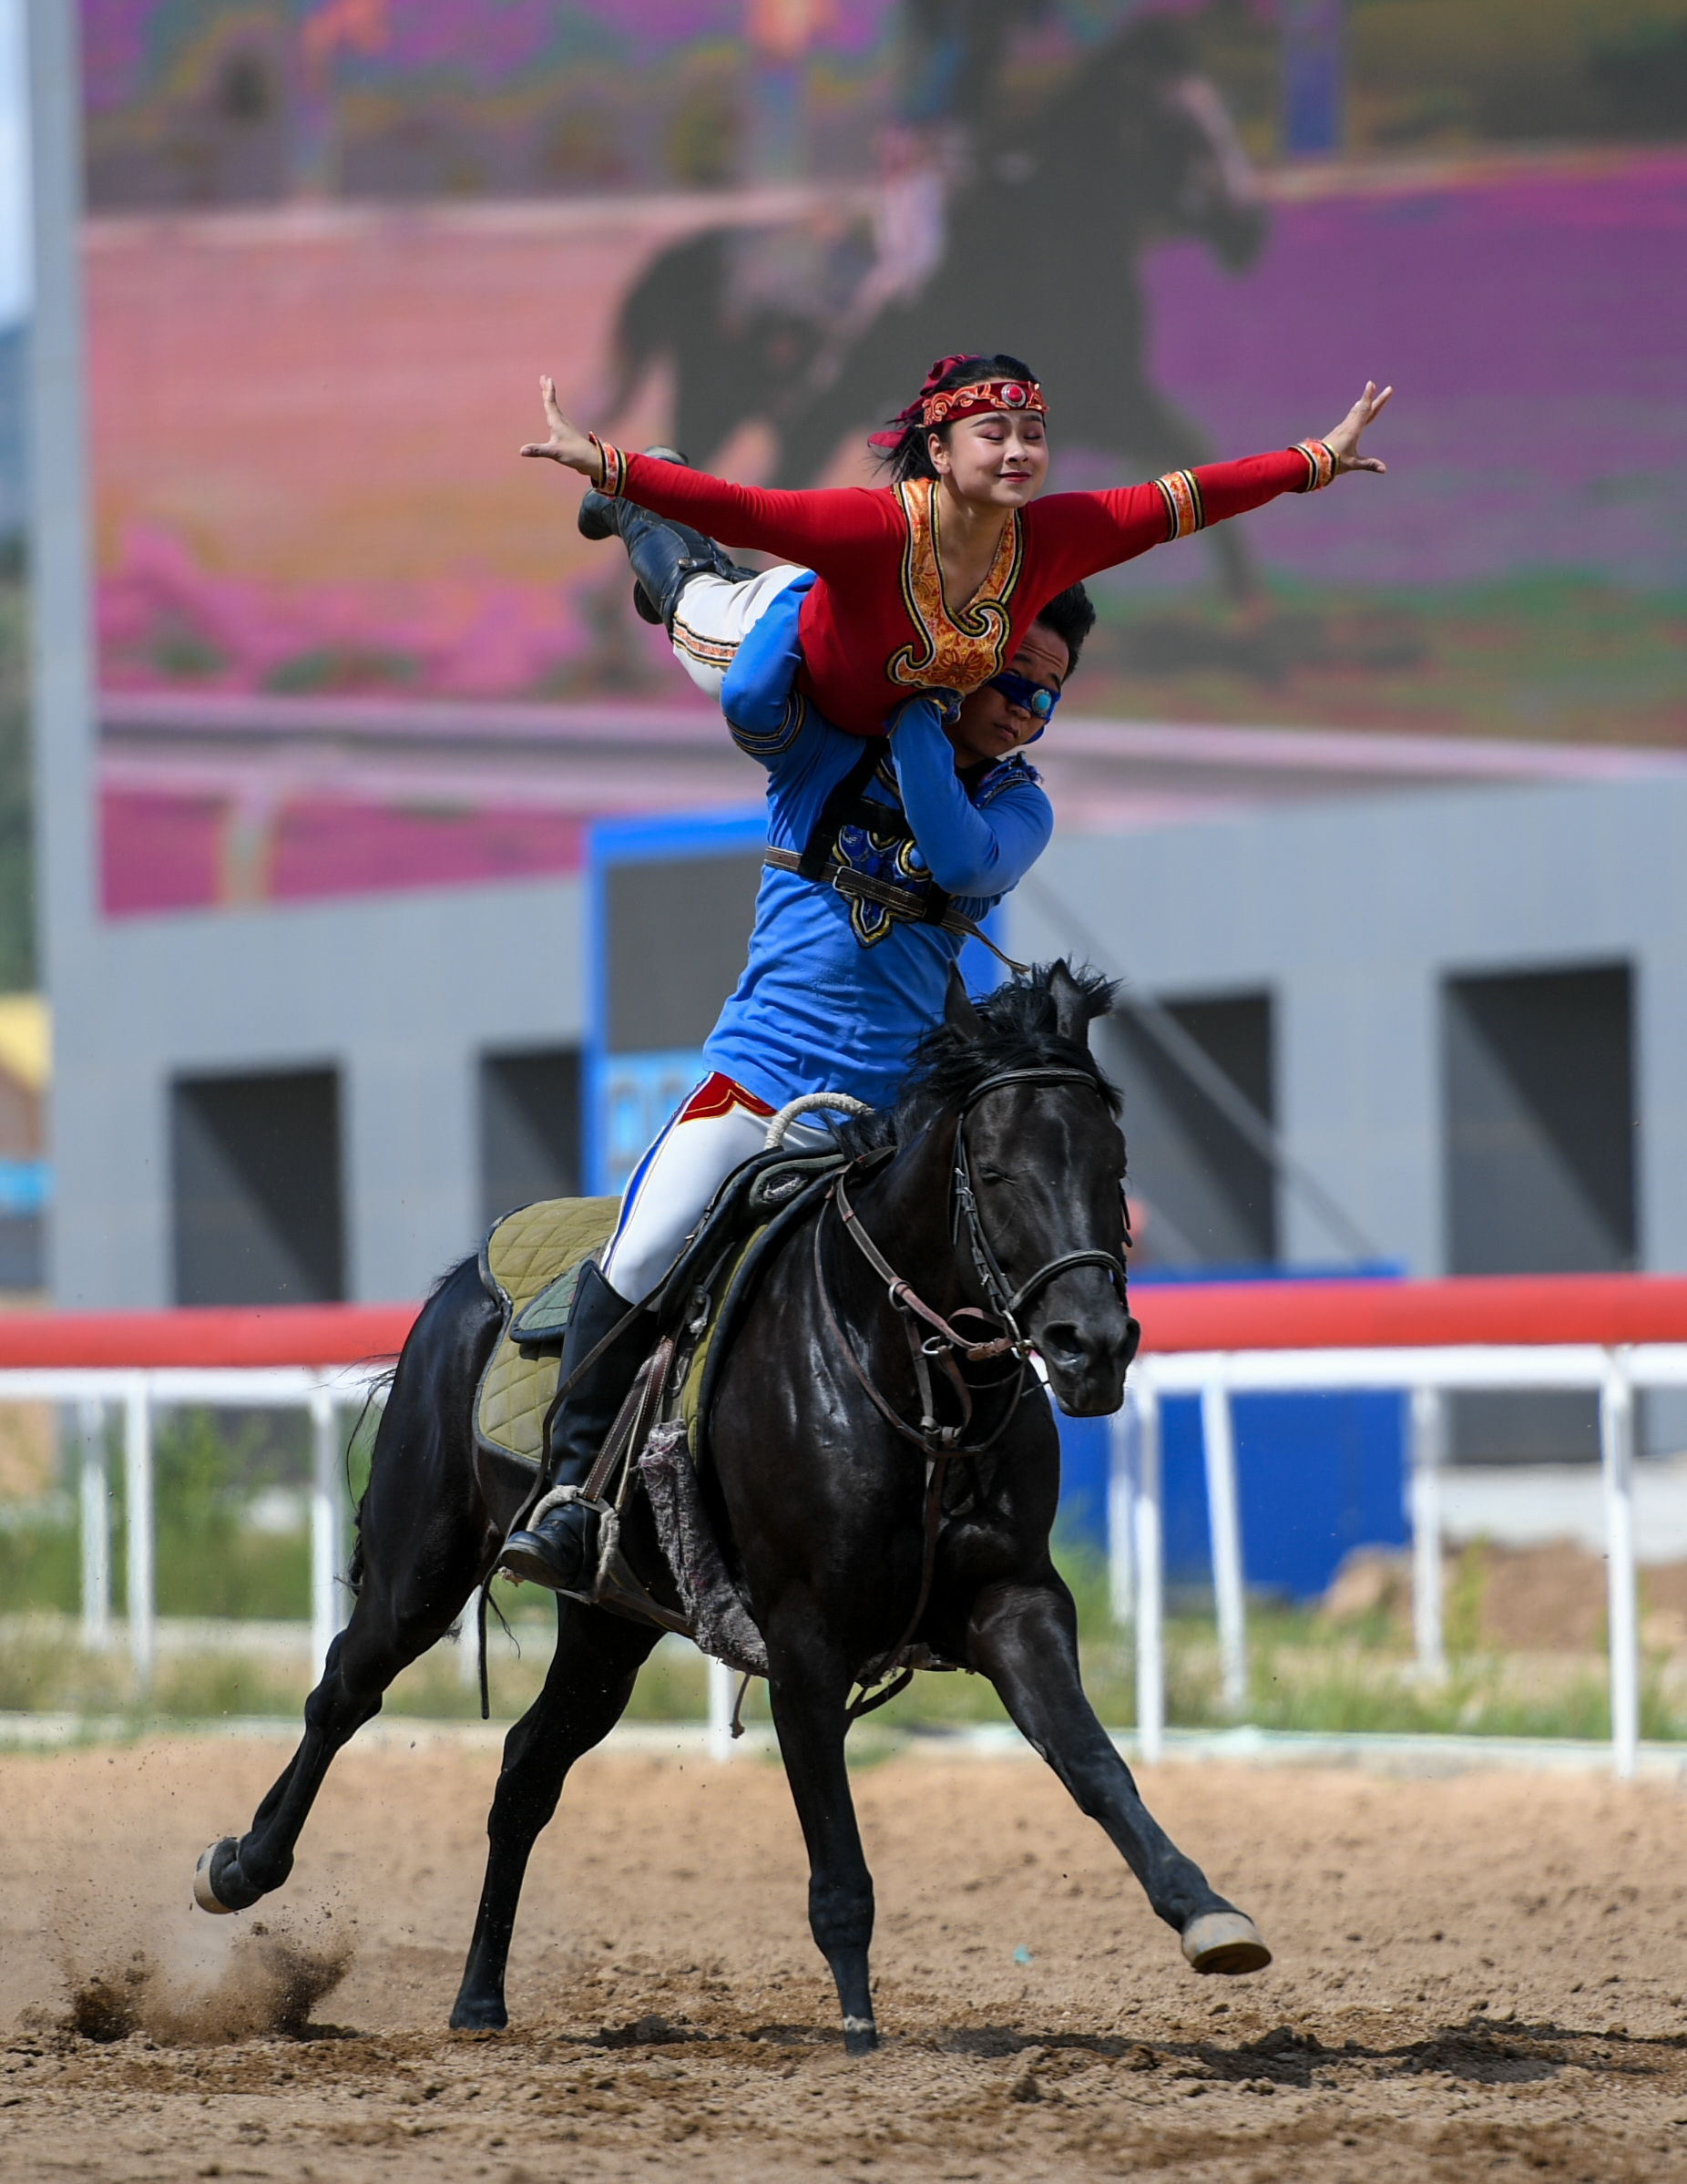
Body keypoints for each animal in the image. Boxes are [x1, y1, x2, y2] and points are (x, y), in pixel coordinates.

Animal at [194, 965, 1265, 2053]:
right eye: (999, 1172)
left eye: (1114, 1166)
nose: (1094, 1345)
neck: (907, 1372)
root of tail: (465, 1281)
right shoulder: (804, 1636)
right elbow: (837, 1861)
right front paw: (858, 2029)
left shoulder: (1015, 1602)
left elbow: (1092, 1760)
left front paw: (1204, 1909)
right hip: (424, 1565)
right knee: (343, 1692)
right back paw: (240, 1867)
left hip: (610, 1627)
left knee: (525, 1770)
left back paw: (479, 2000)